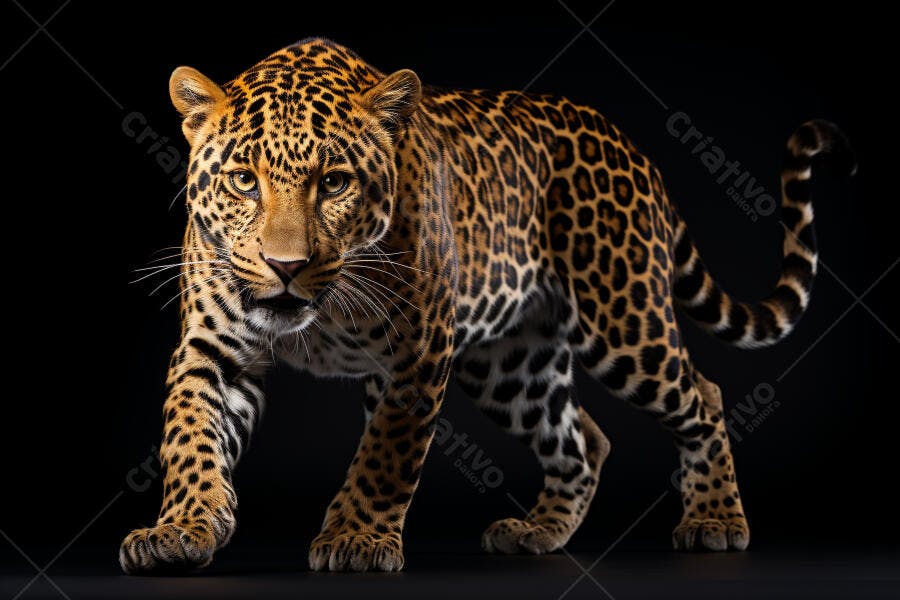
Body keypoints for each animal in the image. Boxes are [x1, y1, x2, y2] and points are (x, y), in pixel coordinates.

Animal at [120, 38, 854, 573]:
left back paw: (716, 520)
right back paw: (540, 532)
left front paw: (357, 539)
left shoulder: (416, 356)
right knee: (583, 436)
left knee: (701, 393)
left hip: (622, 321)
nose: (286, 266)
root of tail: (636, 152)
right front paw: (183, 525)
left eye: (334, 183)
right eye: (244, 180)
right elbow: (188, 434)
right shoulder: (211, 347)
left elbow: (385, 454)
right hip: (510, 365)